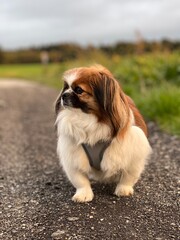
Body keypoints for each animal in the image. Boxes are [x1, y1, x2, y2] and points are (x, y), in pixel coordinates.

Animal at [54, 64, 152, 202]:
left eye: (78, 90)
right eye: (66, 87)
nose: (64, 95)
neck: (88, 119)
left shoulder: (134, 151)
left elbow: (128, 175)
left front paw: (123, 189)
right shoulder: (73, 155)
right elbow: (80, 180)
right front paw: (83, 194)